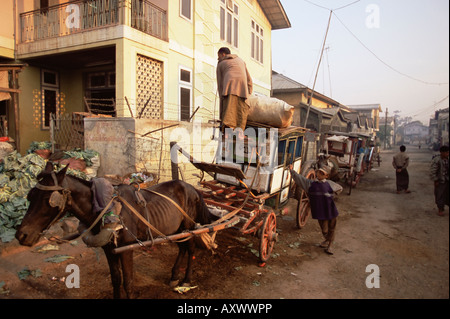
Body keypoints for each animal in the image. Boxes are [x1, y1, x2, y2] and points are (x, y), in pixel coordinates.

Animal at [15, 162, 214, 300]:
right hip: (175, 229)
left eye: (49, 199)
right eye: (30, 195)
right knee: (182, 247)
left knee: (190, 248)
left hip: (188, 226)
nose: (21, 235)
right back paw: (174, 276)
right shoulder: (109, 249)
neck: (106, 210)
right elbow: (116, 280)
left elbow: (128, 282)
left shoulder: (126, 249)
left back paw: (186, 279)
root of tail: (192, 188)